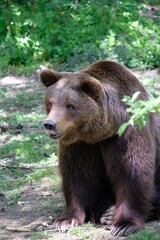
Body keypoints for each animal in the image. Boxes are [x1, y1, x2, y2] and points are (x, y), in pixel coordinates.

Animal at [39, 60, 160, 236]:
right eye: (51, 102)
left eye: (70, 105)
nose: (49, 124)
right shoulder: (80, 145)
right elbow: (77, 176)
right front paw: (66, 220)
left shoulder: (125, 133)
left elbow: (132, 171)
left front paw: (123, 224)